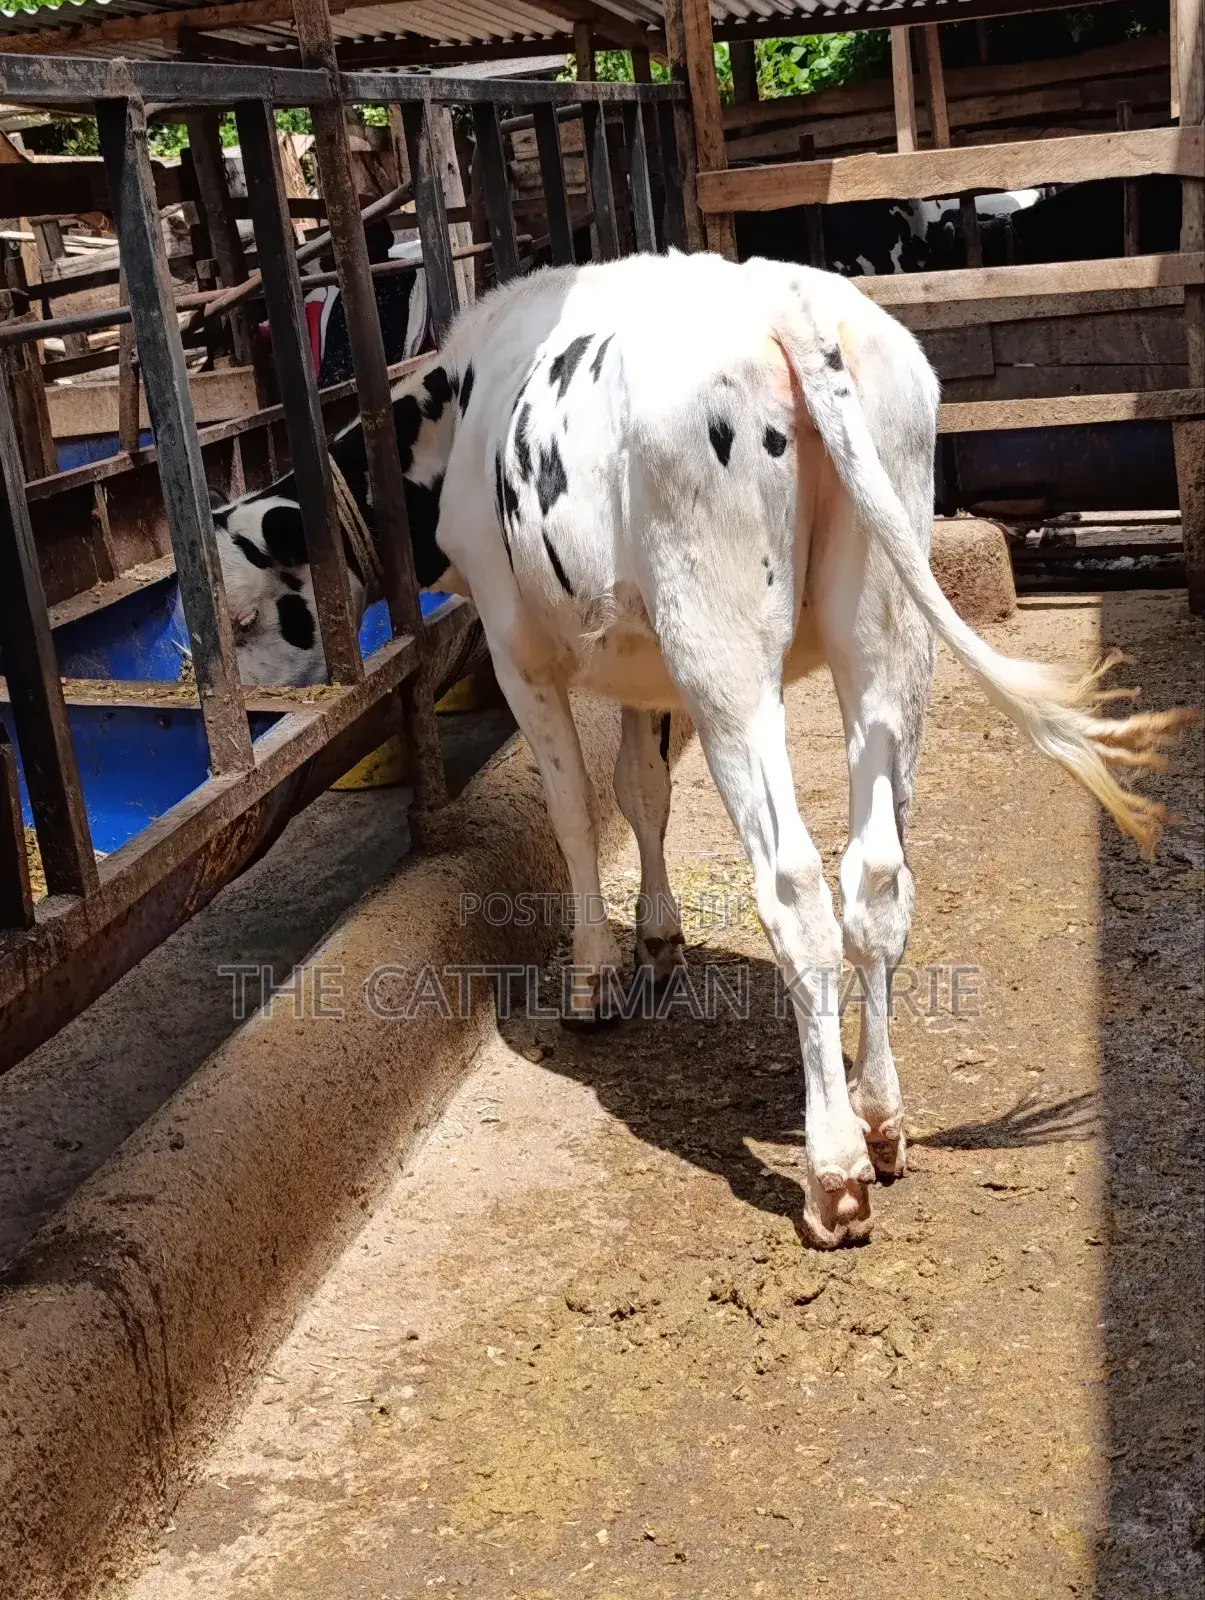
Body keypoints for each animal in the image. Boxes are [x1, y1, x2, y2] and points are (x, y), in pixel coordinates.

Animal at [206, 251, 1190, 1247]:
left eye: (245, 613)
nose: (258, 723)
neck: (454, 407)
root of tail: (790, 302)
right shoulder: (643, 666)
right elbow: (642, 790)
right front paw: (657, 938)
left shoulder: (518, 646)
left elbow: (573, 810)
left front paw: (595, 978)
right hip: (881, 628)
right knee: (877, 878)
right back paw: (879, 1120)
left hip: (723, 646)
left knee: (794, 887)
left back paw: (832, 1170)